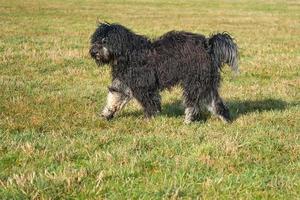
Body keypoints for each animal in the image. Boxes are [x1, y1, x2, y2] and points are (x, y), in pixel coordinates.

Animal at [89, 22, 239, 124]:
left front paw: (149, 119)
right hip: (205, 82)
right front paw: (106, 115)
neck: (128, 54)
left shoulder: (144, 85)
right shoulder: (123, 82)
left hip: (194, 81)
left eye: (105, 41)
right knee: (214, 101)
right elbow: (114, 98)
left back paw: (187, 120)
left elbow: (150, 103)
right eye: (95, 40)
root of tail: (208, 45)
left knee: (193, 103)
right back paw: (225, 119)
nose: (93, 52)